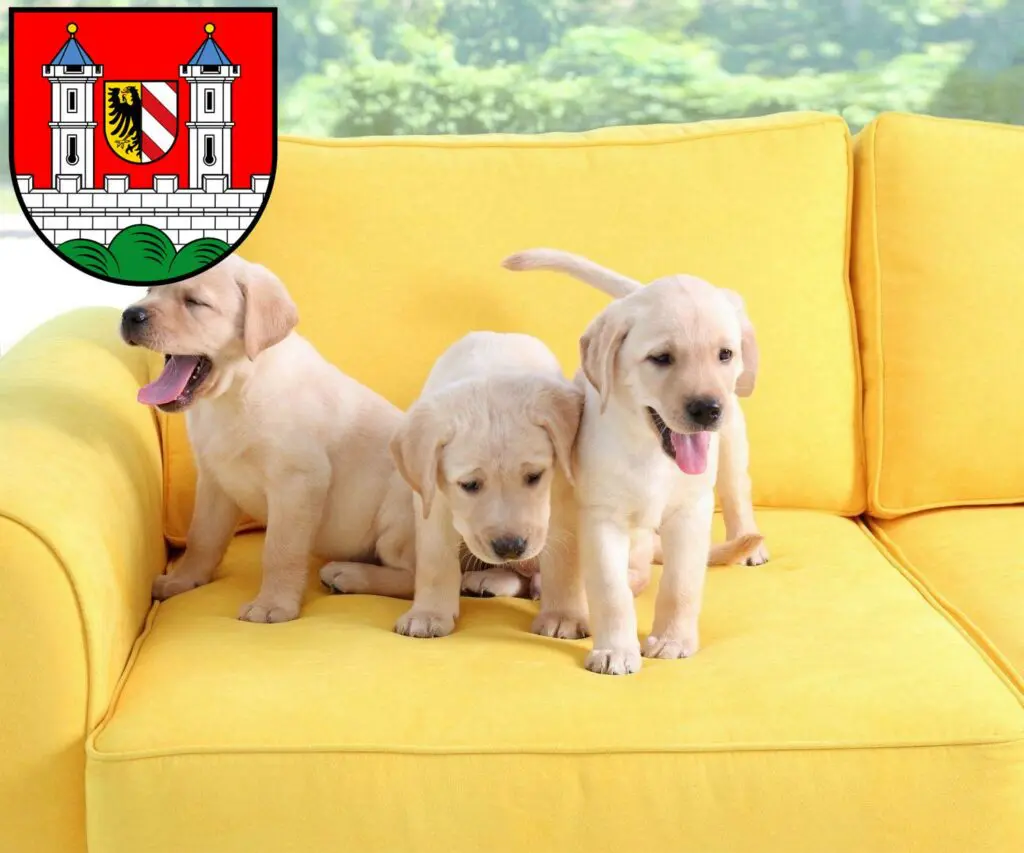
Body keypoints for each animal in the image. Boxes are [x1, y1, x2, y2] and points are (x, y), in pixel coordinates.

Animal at [122, 256, 415, 622]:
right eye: (149, 291)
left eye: (195, 302)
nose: (130, 315)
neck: (236, 392)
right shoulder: (215, 479)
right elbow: (202, 537)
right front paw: (184, 579)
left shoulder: (297, 481)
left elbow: (280, 550)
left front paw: (272, 604)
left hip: (399, 515)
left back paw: (350, 574)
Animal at [501, 245, 761, 671]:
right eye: (661, 358)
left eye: (725, 354)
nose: (708, 409)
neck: (650, 451)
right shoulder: (601, 517)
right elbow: (611, 591)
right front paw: (615, 650)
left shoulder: (690, 512)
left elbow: (680, 584)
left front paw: (673, 640)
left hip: (733, 438)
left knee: (736, 489)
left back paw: (749, 542)